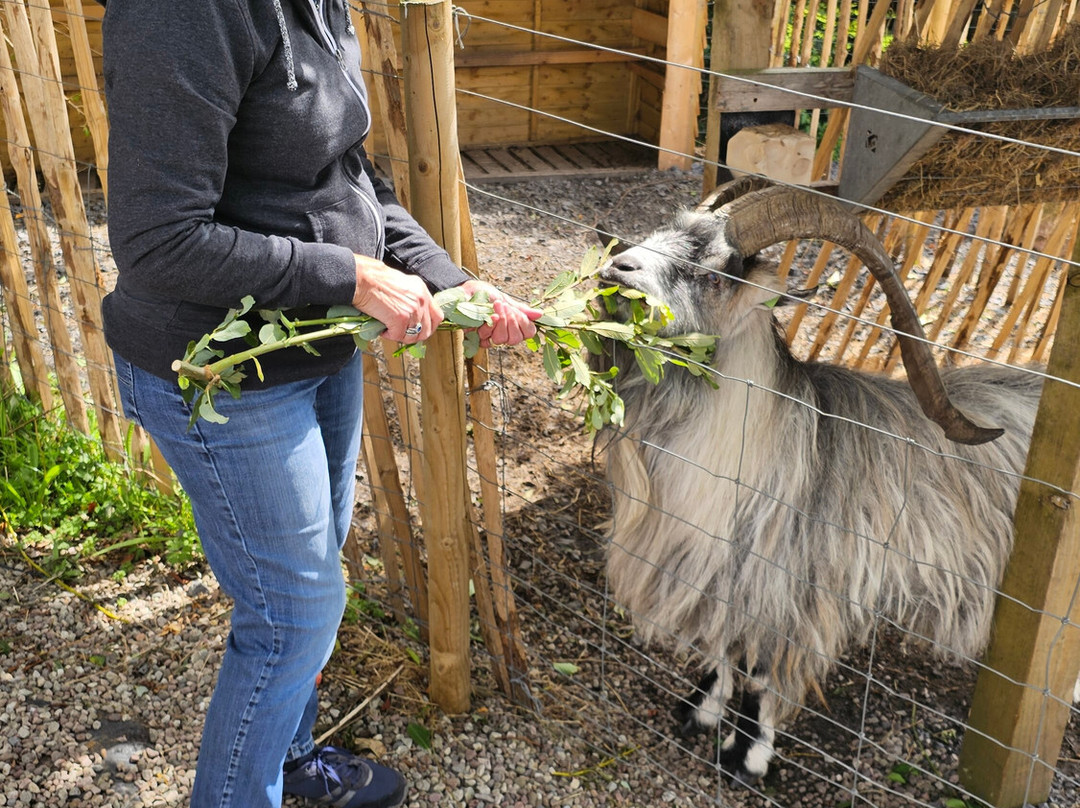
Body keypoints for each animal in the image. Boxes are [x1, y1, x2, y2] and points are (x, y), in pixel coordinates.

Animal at [595, 177, 1046, 783]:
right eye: (655, 233)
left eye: (715, 276)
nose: (615, 268)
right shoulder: (726, 577)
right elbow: (722, 650)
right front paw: (702, 711)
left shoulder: (788, 590)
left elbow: (758, 669)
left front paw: (746, 756)